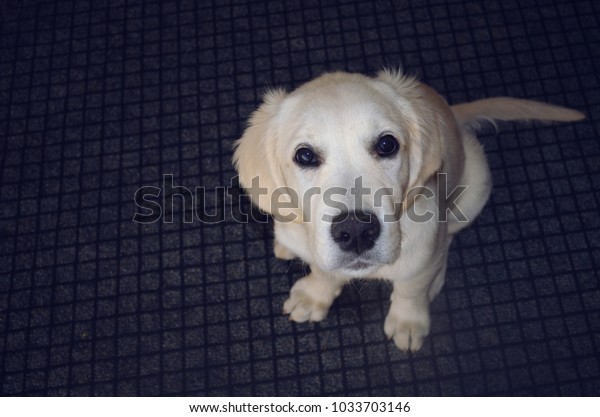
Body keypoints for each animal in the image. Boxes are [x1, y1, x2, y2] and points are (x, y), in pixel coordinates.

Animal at [232, 70, 584, 350]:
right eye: (304, 156)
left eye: (387, 145)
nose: (355, 230)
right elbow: (324, 271)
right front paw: (314, 295)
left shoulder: (422, 250)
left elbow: (410, 288)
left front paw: (408, 322)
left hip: (476, 184)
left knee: (449, 236)